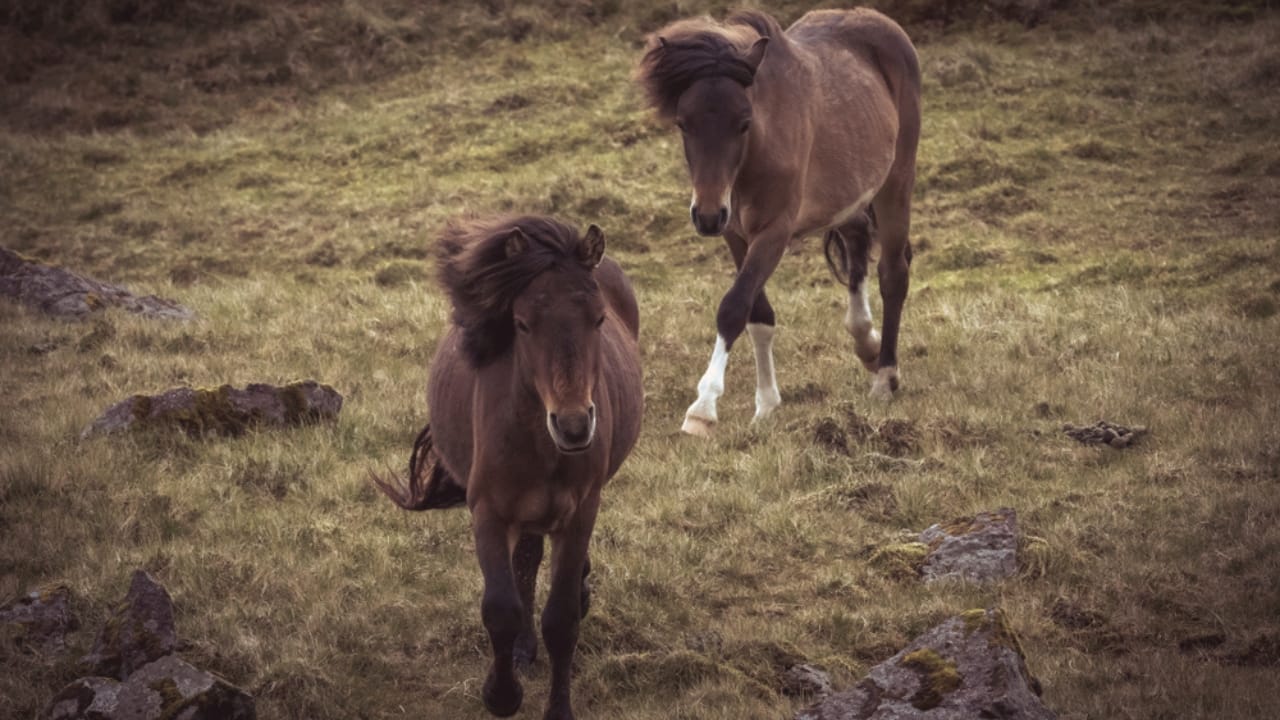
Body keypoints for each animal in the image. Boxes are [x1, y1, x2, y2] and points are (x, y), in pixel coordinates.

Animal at [372, 215, 643, 720]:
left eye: (599, 319)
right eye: (521, 323)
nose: (574, 425)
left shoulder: (579, 512)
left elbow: (561, 620)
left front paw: (557, 709)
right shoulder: (490, 512)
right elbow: (501, 607)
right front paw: (502, 693)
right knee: (526, 564)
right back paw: (521, 649)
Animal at [636, 8, 921, 436]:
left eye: (743, 122)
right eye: (683, 123)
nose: (707, 215)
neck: (753, 157)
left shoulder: (774, 231)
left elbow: (734, 306)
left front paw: (703, 409)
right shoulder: (736, 235)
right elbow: (759, 315)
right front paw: (767, 403)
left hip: (895, 185)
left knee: (893, 275)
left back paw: (885, 376)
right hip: (847, 193)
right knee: (856, 240)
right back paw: (866, 343)